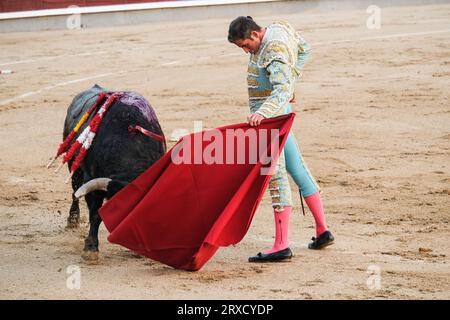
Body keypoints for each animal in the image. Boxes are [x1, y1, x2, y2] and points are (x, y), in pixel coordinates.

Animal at [62, 85, 165, 260]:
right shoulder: (93, 183)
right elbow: (95, 214)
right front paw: (90, 248)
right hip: (73, 162)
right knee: (75, 190)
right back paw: (73, 218)